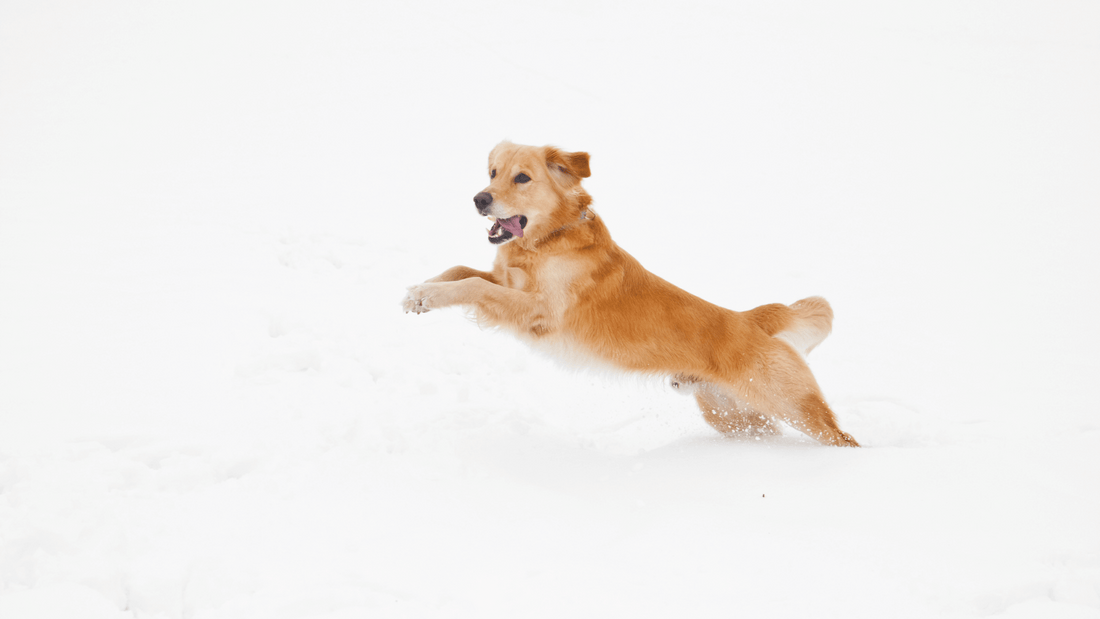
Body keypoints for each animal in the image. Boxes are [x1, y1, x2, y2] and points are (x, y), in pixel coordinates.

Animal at [404, 142, 858, 448]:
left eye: (522, 178)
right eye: (492, 172)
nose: (479, 199)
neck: (550, 240)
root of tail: (750, 318)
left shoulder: (541, 311)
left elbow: (473, 284)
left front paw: (427, 293)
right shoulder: (508, 284)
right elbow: (462, 272)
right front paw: (420, 292)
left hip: (796, 407)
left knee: (841, 436)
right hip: (731, 415)